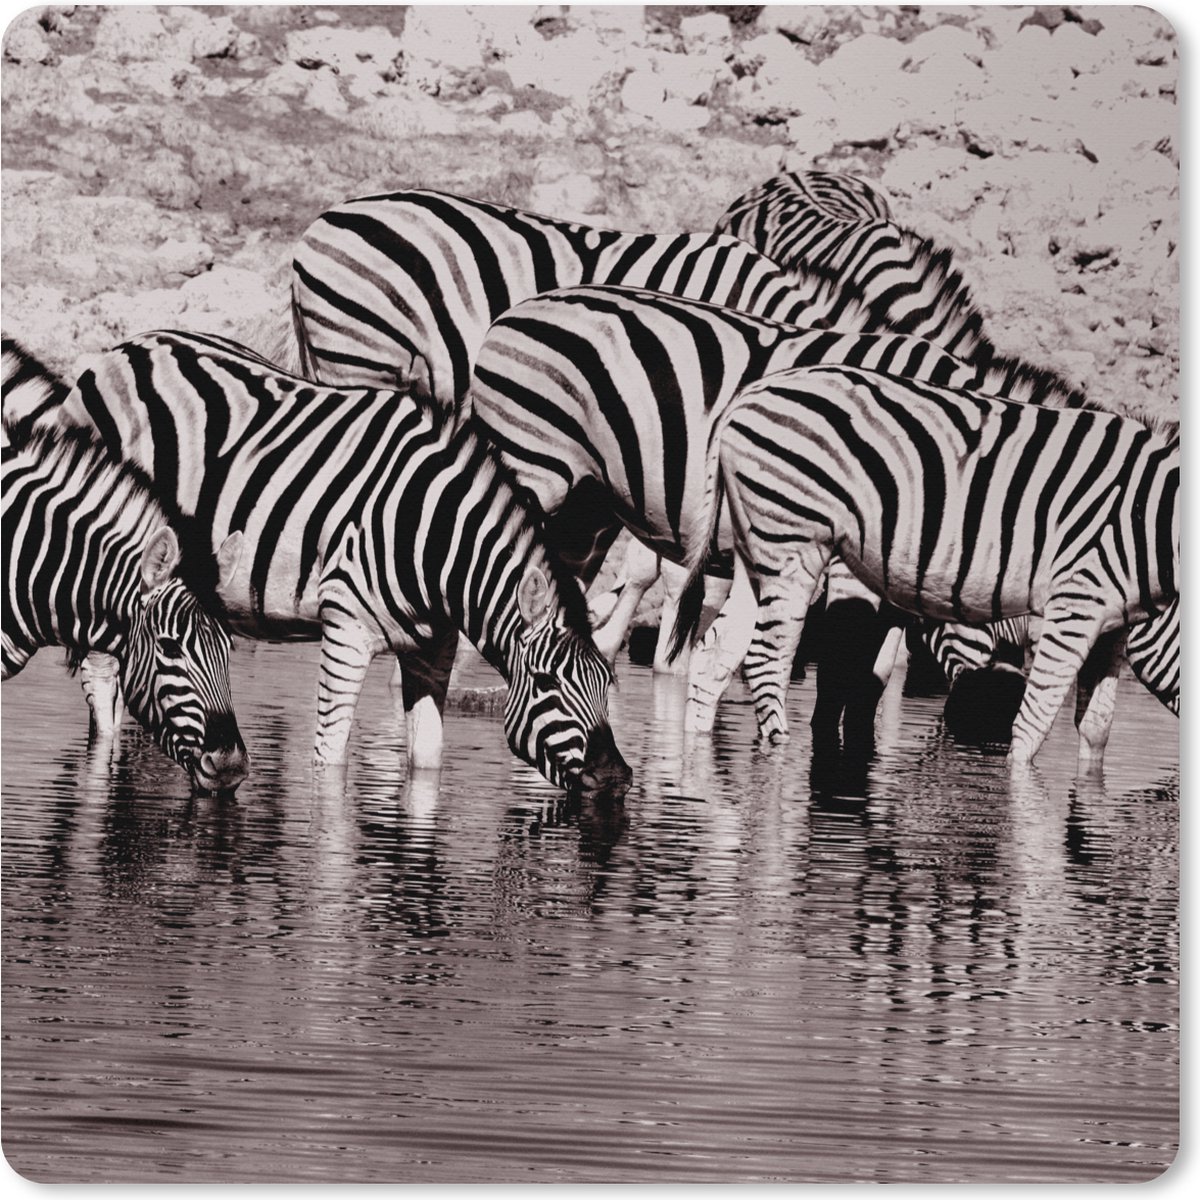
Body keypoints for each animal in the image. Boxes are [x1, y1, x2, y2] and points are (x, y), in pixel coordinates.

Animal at [670, 364, 1179, 765]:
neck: (1154, 523)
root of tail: (747, 396)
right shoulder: (1077, 600)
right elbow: (1032, 726)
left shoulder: (1113, 626)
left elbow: (1096, 730)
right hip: (793, 538)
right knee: (765, 660)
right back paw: (778, 756)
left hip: (758, 546)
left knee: (717, 653)